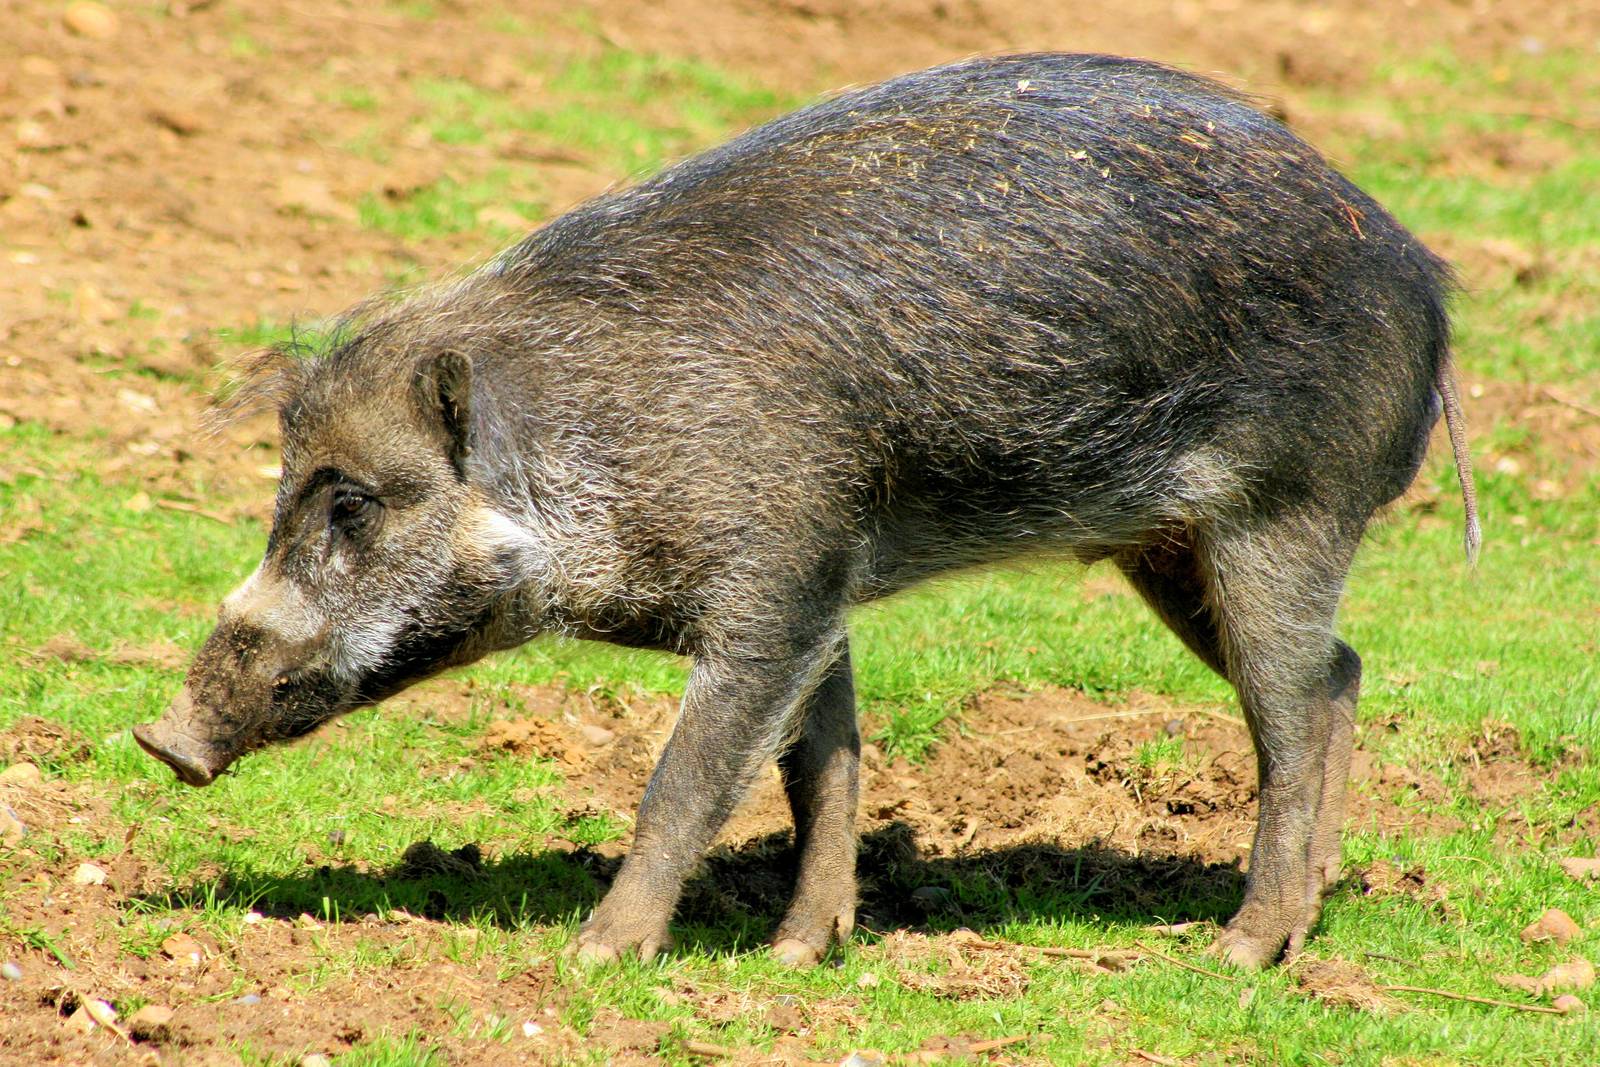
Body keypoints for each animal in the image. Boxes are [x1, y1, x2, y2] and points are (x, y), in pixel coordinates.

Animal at [135, 52, 1479, 969]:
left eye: (353, 499)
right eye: (282, 491)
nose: (161, 737)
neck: (588, 461)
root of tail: (1424, 276)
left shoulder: (770, 585)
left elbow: (686, 780)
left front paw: (593, 956)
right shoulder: (819, 582)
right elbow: (819, 762)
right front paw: (798, 951)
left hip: (1283, 510)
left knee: (1291, 709)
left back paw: (1239, 949)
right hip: (1168, 547)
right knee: (1341, 674)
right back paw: (1306, 918)